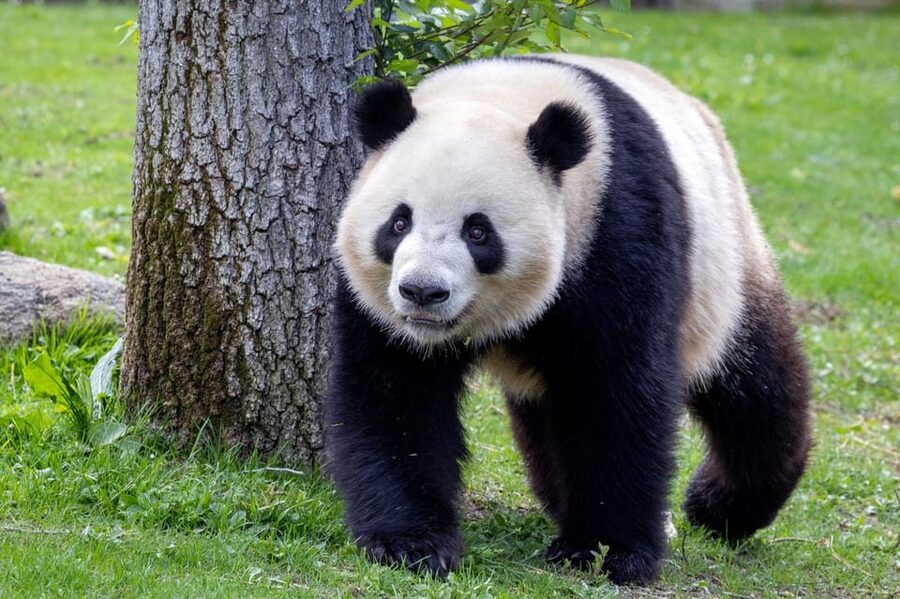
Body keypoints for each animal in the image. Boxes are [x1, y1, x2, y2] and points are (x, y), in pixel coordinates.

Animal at [325, 55, 811, 586]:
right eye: (398, 223)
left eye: (478, 231)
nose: (422, 292)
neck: (502, 95)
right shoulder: (377, 306)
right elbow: (394, 395)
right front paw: (410, 544)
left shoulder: (616, 228)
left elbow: (614, 394)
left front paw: (606, 549)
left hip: (725, 262)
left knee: (753, 386)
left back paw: (720, 506)